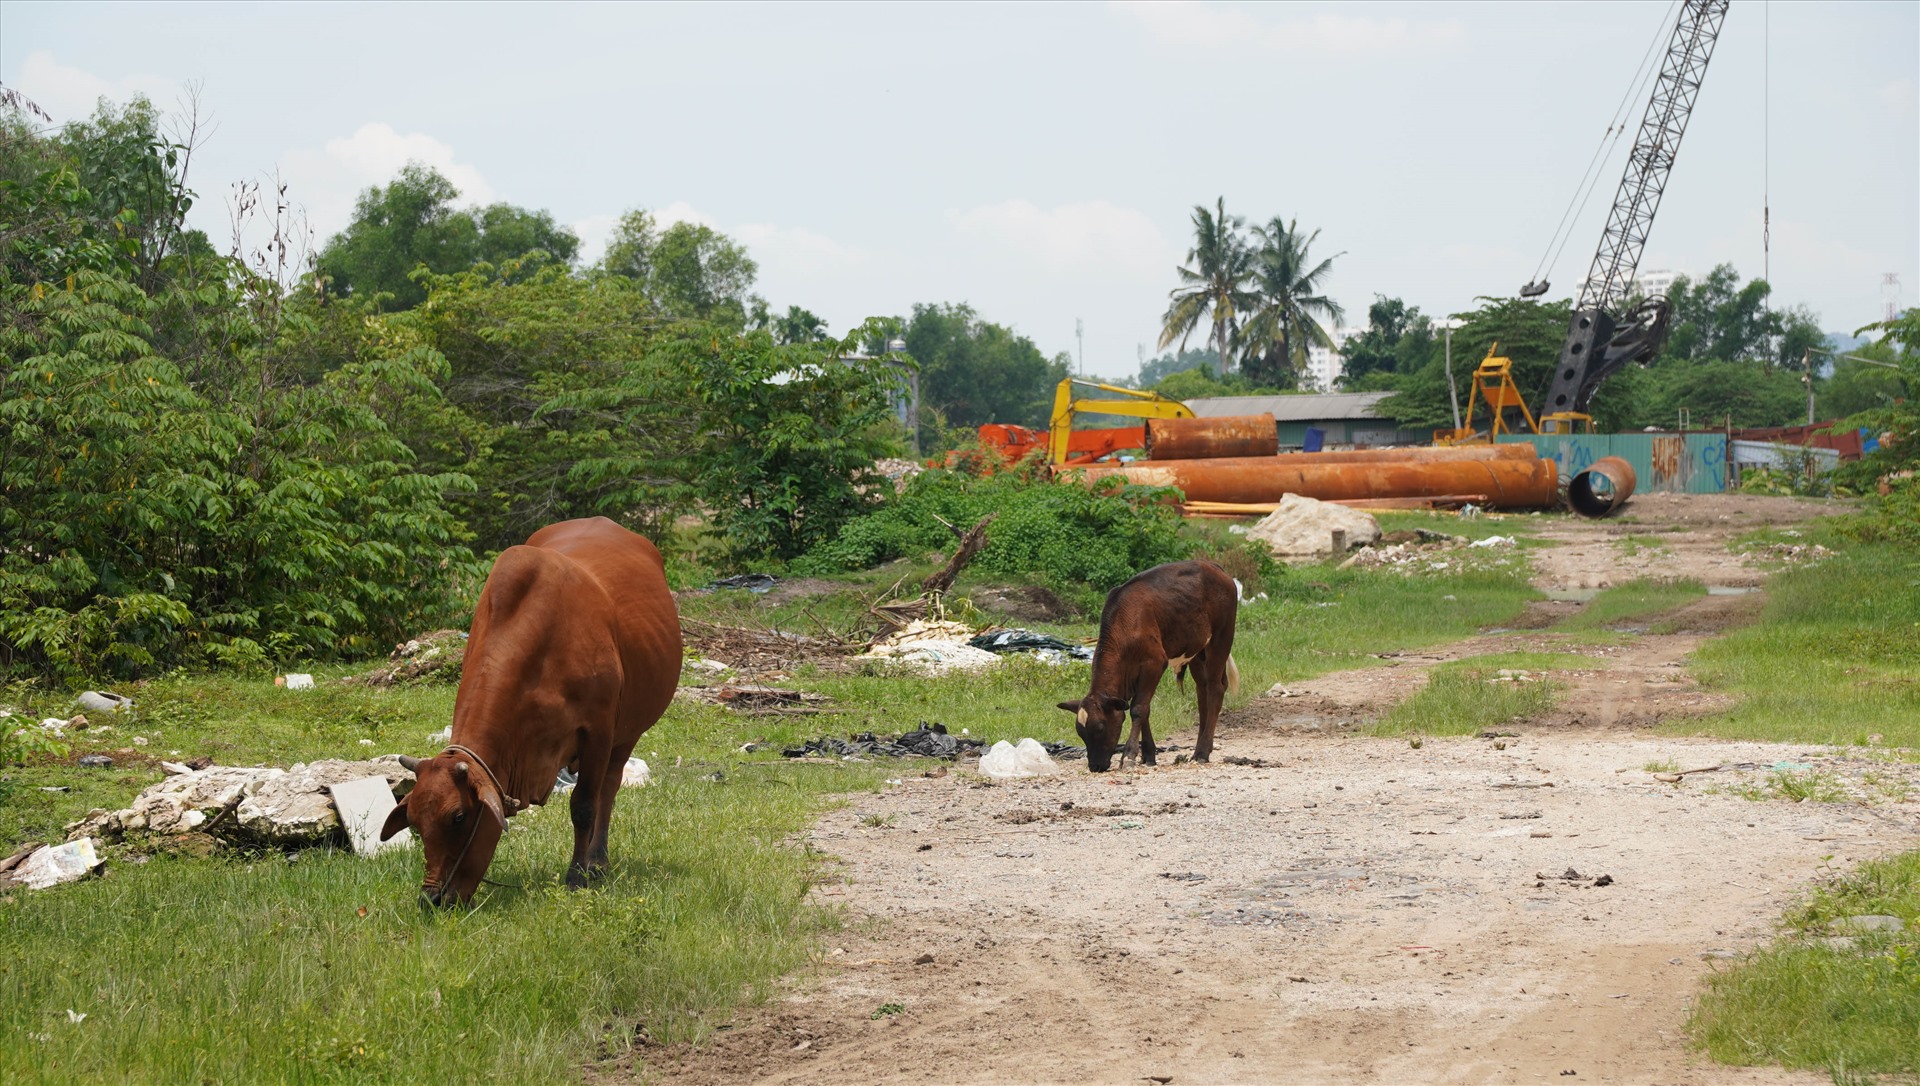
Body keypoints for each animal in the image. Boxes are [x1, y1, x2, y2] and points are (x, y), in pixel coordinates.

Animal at [382, 518, 683, 901]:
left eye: (459, 817)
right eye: (416, 824)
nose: (432, 899)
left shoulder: (599, 731)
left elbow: (584, 806)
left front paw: (577, 875)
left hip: (627, 731)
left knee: (609, 789)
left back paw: (598, 862)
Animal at [1059, 560, 1236, 775]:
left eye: (1100, 727)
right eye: (1080, 732)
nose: (1095, 766)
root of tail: (1213, 566)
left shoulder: (1154, 664)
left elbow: (1138, 709)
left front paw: (1128, 756)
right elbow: (1146, 710)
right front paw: (1148, 755)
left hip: (1221, 638)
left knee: (1216, 688)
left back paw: (1202, 752)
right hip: (1196, 650)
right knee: (1203, 690)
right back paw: (1200, 748)